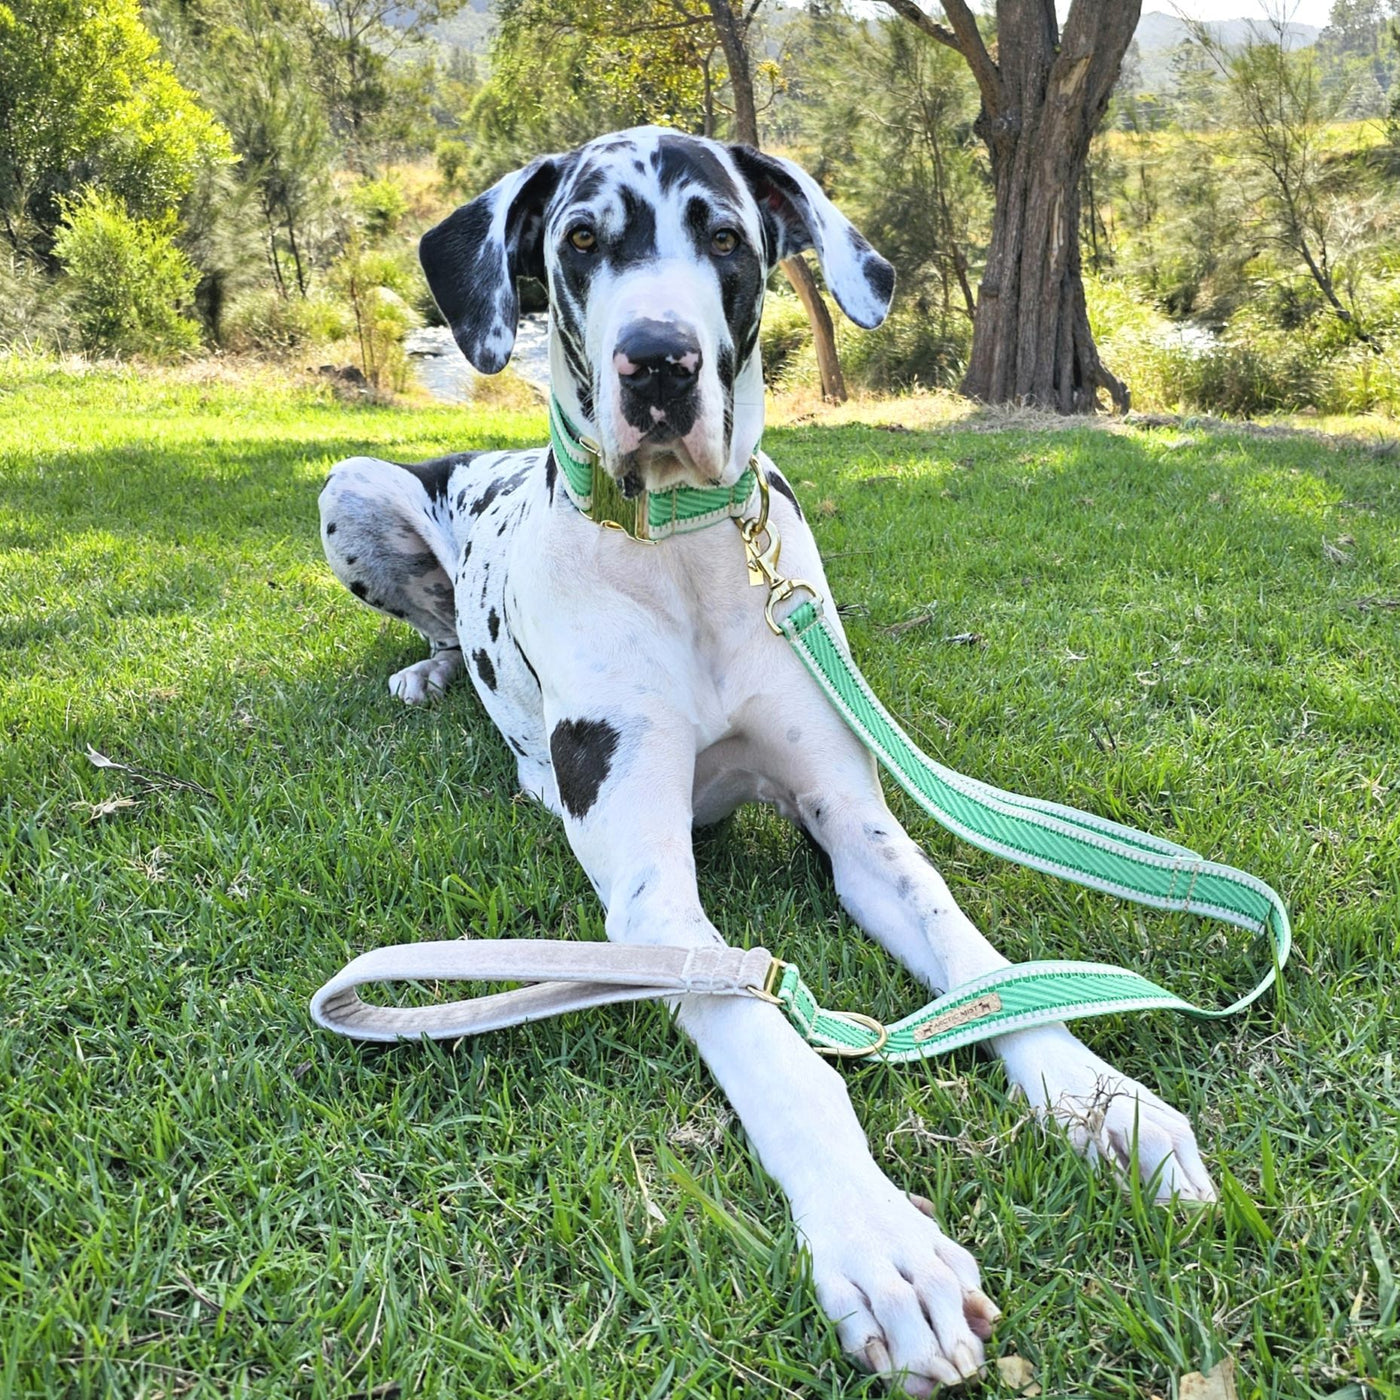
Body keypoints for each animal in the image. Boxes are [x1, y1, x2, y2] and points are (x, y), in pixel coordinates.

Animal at [320, 128, 1215, 1388]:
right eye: (581, 238)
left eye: (725, 235)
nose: (657, 363)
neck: (687, 550)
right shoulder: (654, 900)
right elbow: (779, 1052)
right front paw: (880, 1243)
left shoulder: (857, 827)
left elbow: (974, 958)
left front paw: (1099, 1095)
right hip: (353, 482)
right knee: (443, 623)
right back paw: (441, 686)